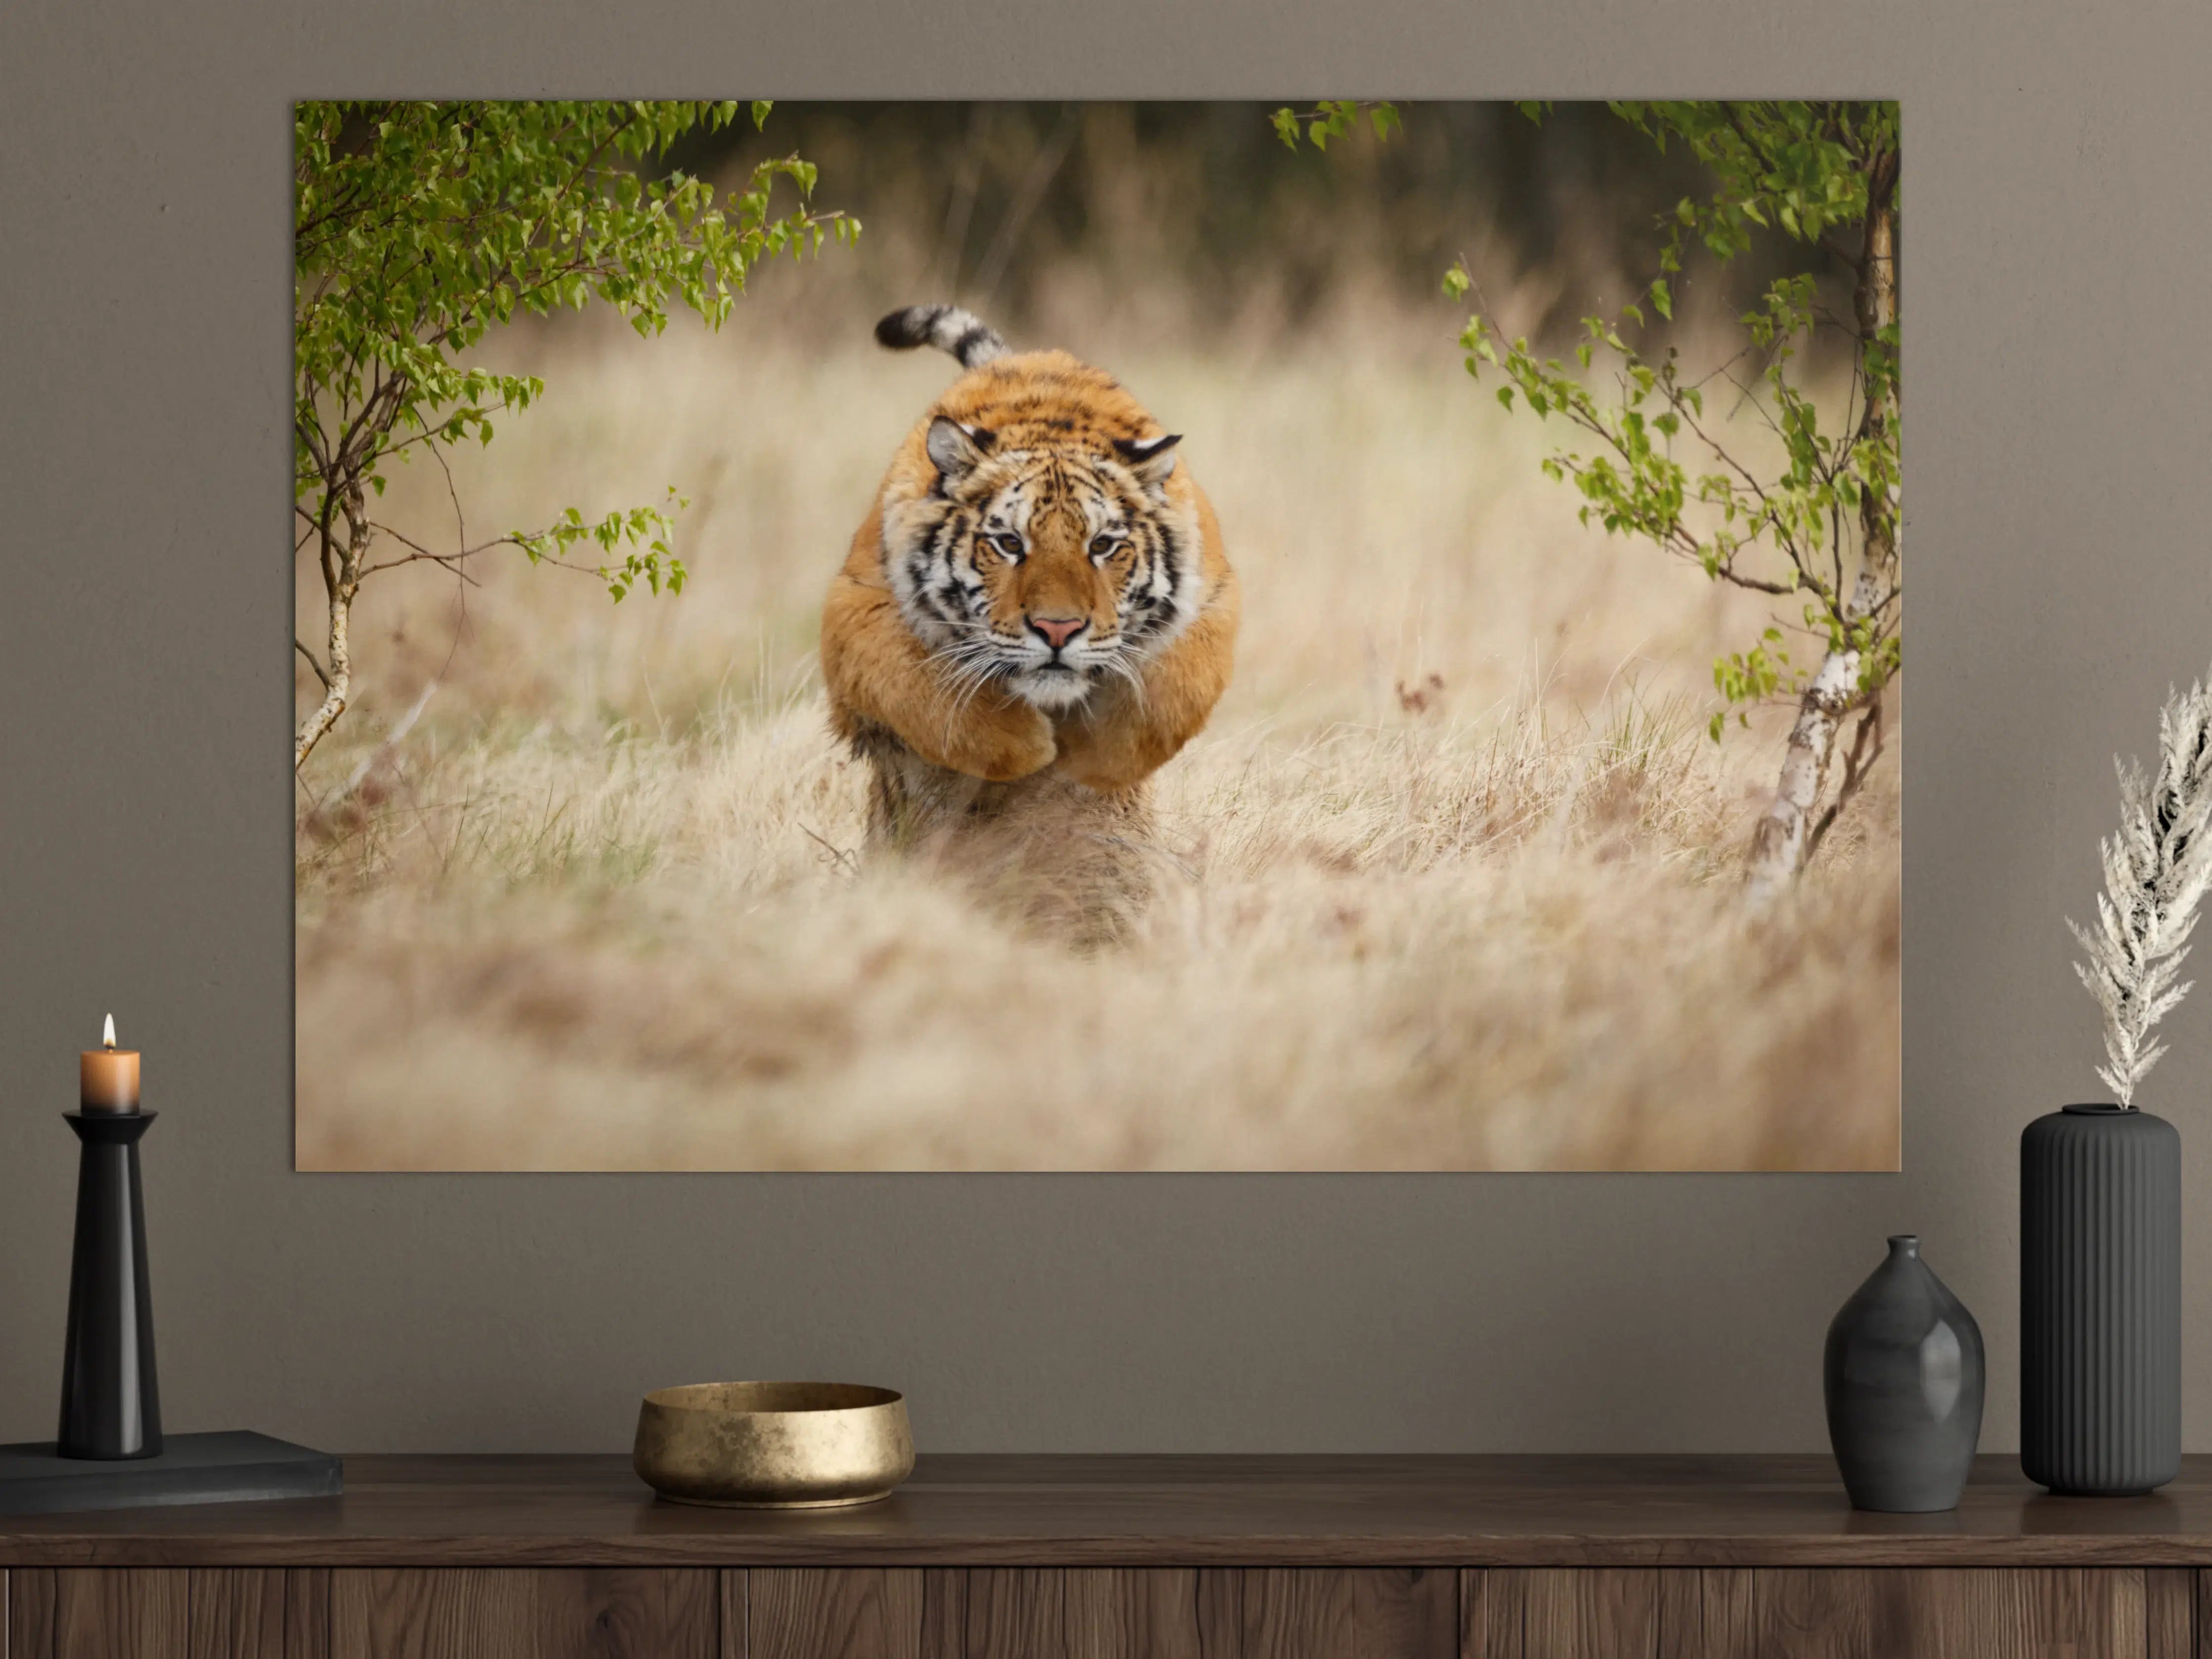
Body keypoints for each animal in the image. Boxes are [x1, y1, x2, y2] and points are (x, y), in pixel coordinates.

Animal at [821, 304, 1238, 850]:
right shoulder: (858, 609)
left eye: (1102, 545)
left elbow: (1170, 696)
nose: (1058, 631)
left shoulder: (1212, 600)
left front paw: (1095, 760)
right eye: (1009, 543)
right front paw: (1029, 747)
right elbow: (920, 691)